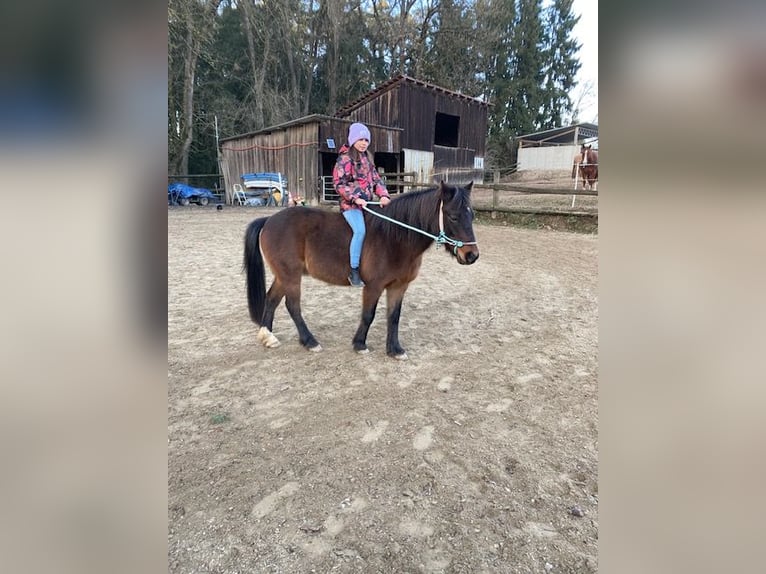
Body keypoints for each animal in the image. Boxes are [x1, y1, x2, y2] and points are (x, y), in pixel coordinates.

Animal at [243, 182, 480, 360]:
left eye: (472, 215)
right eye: (453, 216)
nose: (472, 255)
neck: (395, 238)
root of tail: (269, 220)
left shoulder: (399, 286)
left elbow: (394, 316)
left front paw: (394, 350)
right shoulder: (373, 286)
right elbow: (368, 315)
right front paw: (359, 344)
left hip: (283, 276)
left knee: (271, 299)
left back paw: (267, 336)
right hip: (290, 276)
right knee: (292, 306)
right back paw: (310, 342)